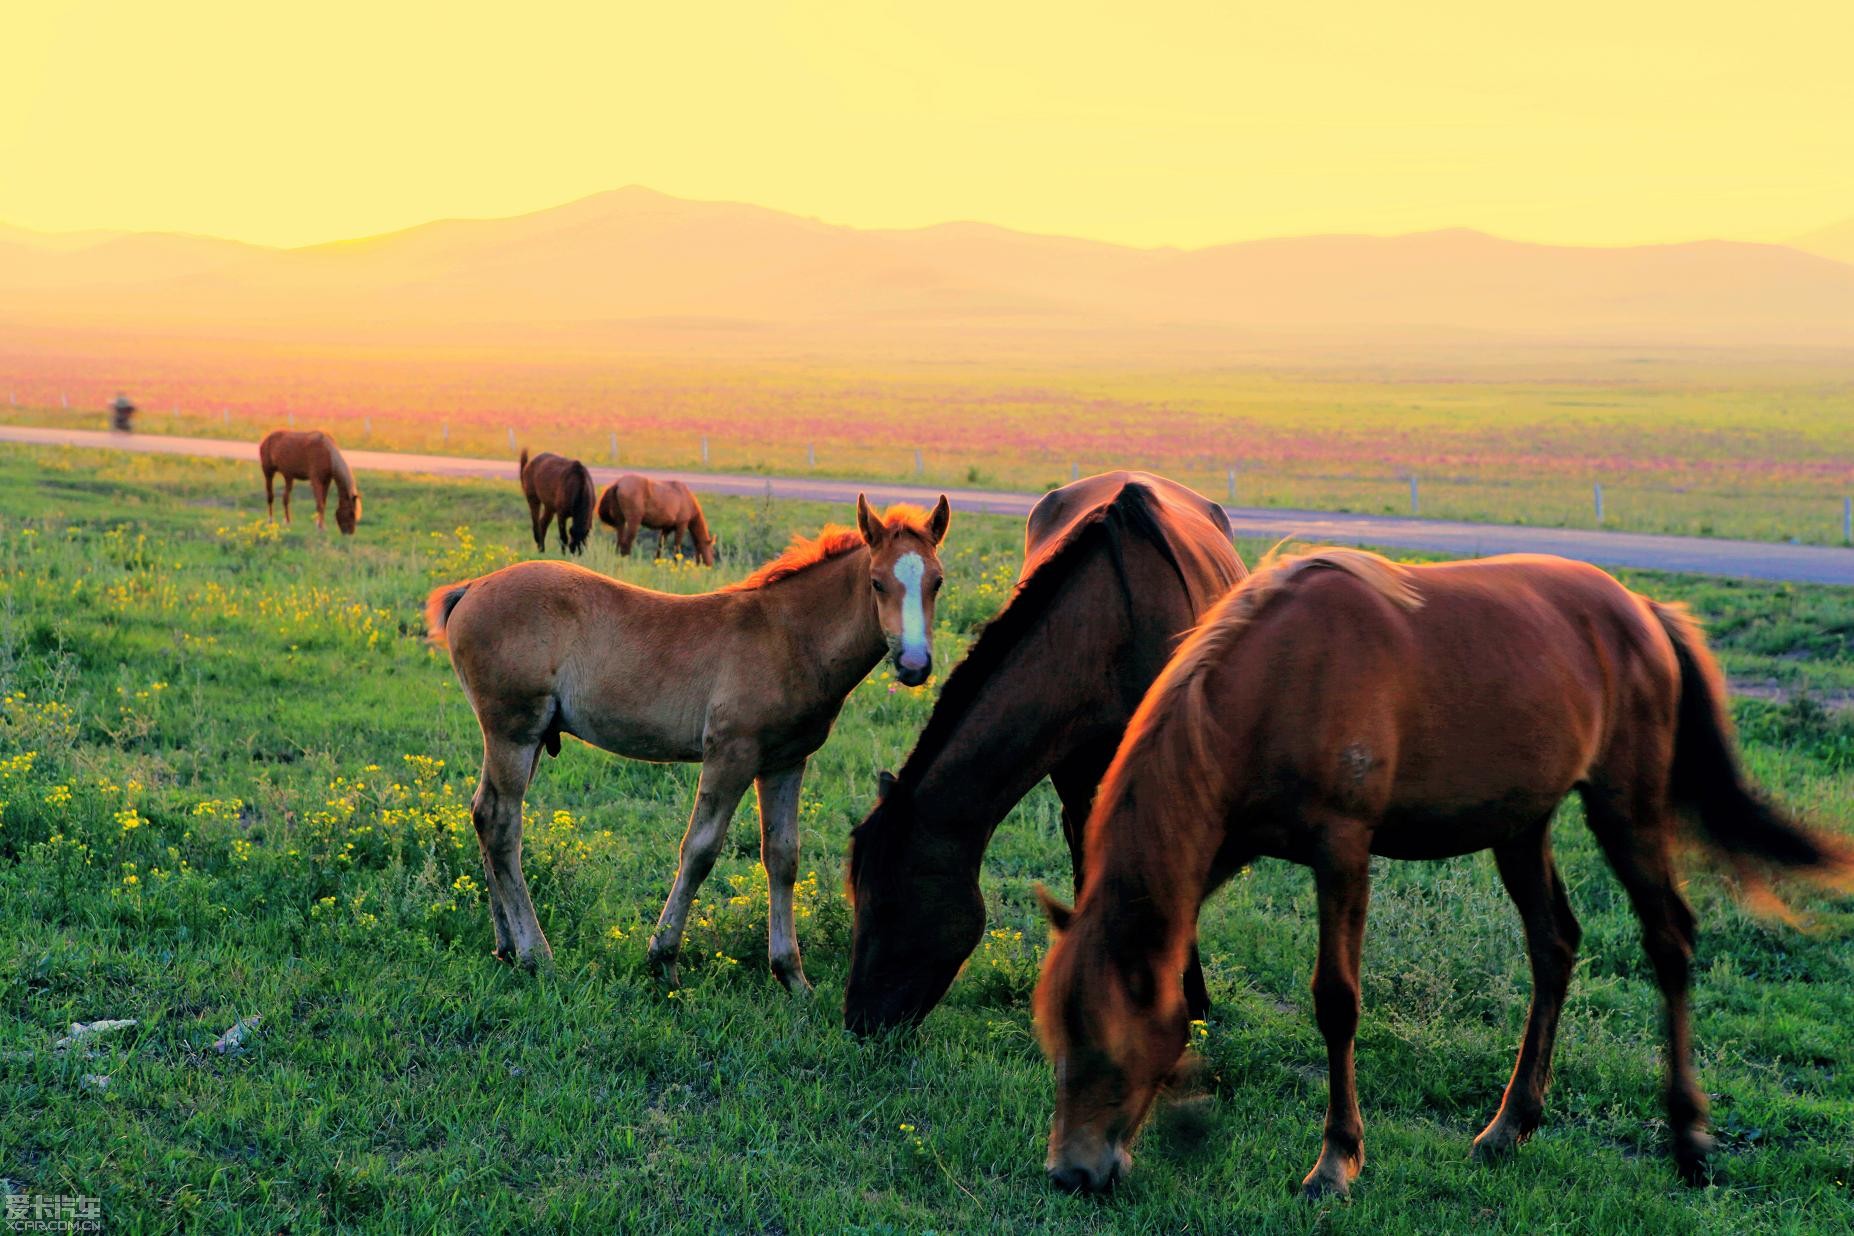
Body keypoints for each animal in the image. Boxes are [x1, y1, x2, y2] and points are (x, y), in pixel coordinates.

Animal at [426, 496, 949, 993]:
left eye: (938, 582)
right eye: (877, 582)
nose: (914, 664)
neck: (788, 638)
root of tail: (471, 587)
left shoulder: (785, 762)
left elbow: (782, 857)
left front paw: (792, 976)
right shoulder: (731, 753)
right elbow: (699, 850)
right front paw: (663, 960)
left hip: (525, 738)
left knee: (484, 813)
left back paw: (506, 946)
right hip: (513, 731)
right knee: (501, 825)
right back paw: (537, 954)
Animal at [845, 474, 1245, 1037]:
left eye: (891, 903)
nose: (857, 1020)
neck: (1110, 630)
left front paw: (1189, 1002)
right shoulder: (1073, 776)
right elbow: (1085, 864)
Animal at [1038, 552, 1846, 1200]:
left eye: (1105, 1044)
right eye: (1056, 1038)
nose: (1071, 1172)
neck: (1275, 682)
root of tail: (1643, 612)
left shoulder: (1343, 851)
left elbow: (1336, 1002)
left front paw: (1336, 1162)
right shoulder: (1224, 847)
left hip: (1627, 809)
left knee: (1668, 940)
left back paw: (1689, 1141)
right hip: (1521, 826)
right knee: (1554, 946)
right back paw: (1509, 1127)